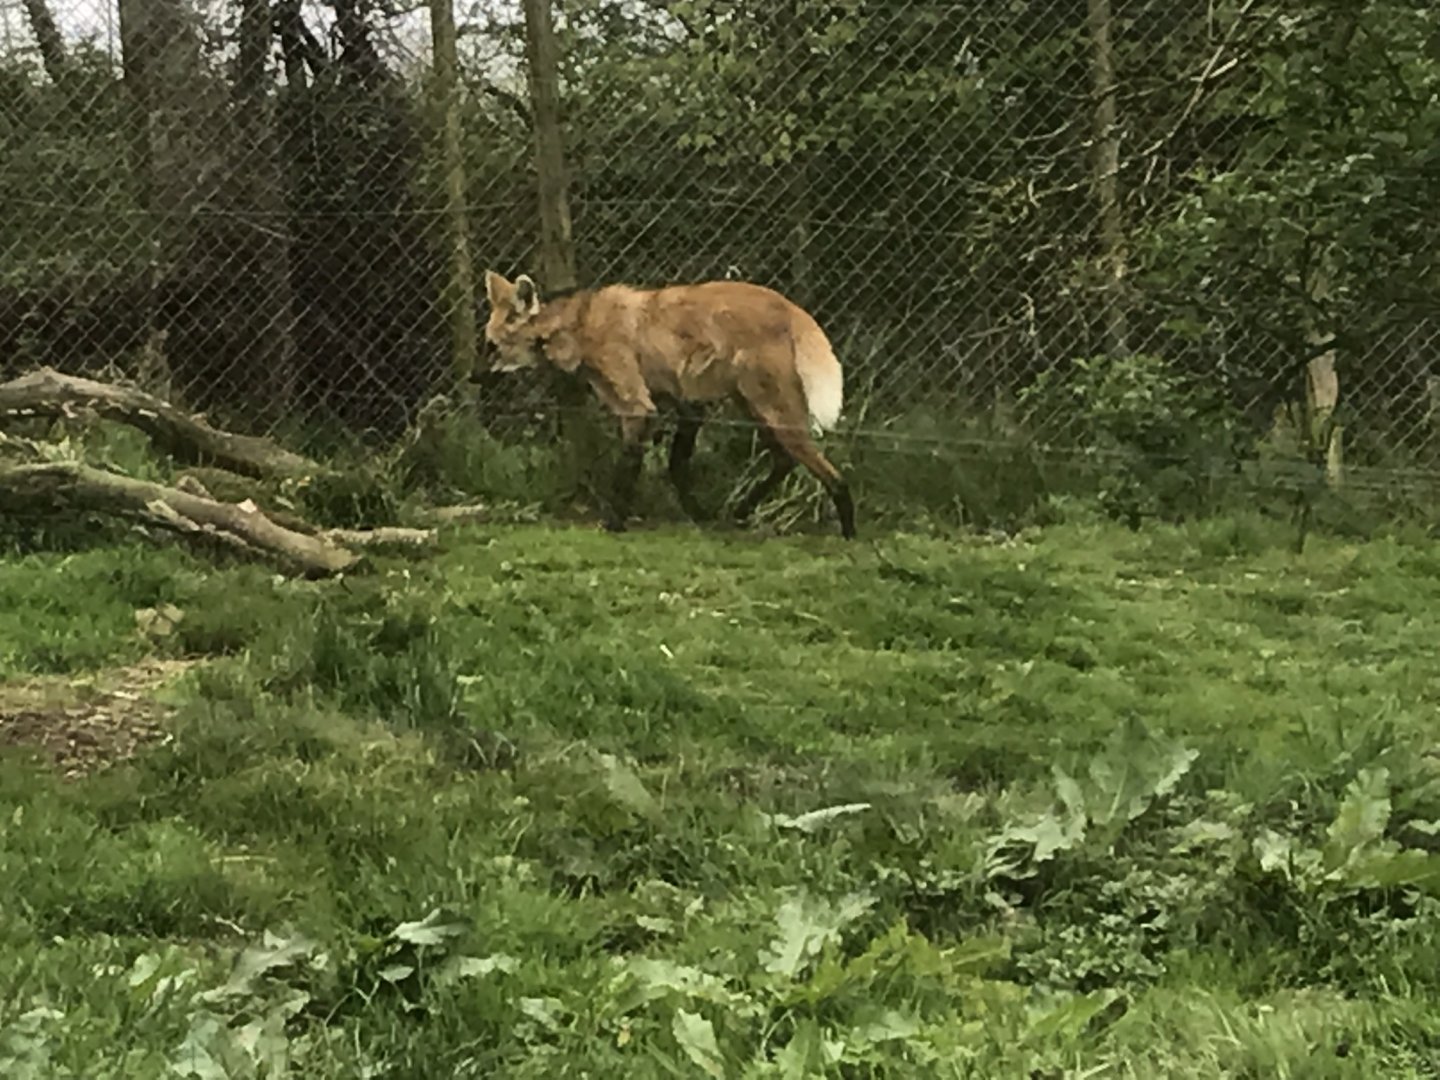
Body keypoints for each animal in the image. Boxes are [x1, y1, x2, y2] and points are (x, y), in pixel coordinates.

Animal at [482, 269, 855, 539]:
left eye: (493, 346)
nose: (474, 376)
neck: (574, 327)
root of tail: (790, 306)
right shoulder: (682, 401)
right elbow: (676, 465)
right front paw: (698, 513)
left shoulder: (639, 405)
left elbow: (631, 465)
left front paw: (615, 522)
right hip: (751, 405)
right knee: (784, 459)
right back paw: (740, 512)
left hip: (769, 405)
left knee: (825, 469)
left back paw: (848, 529)